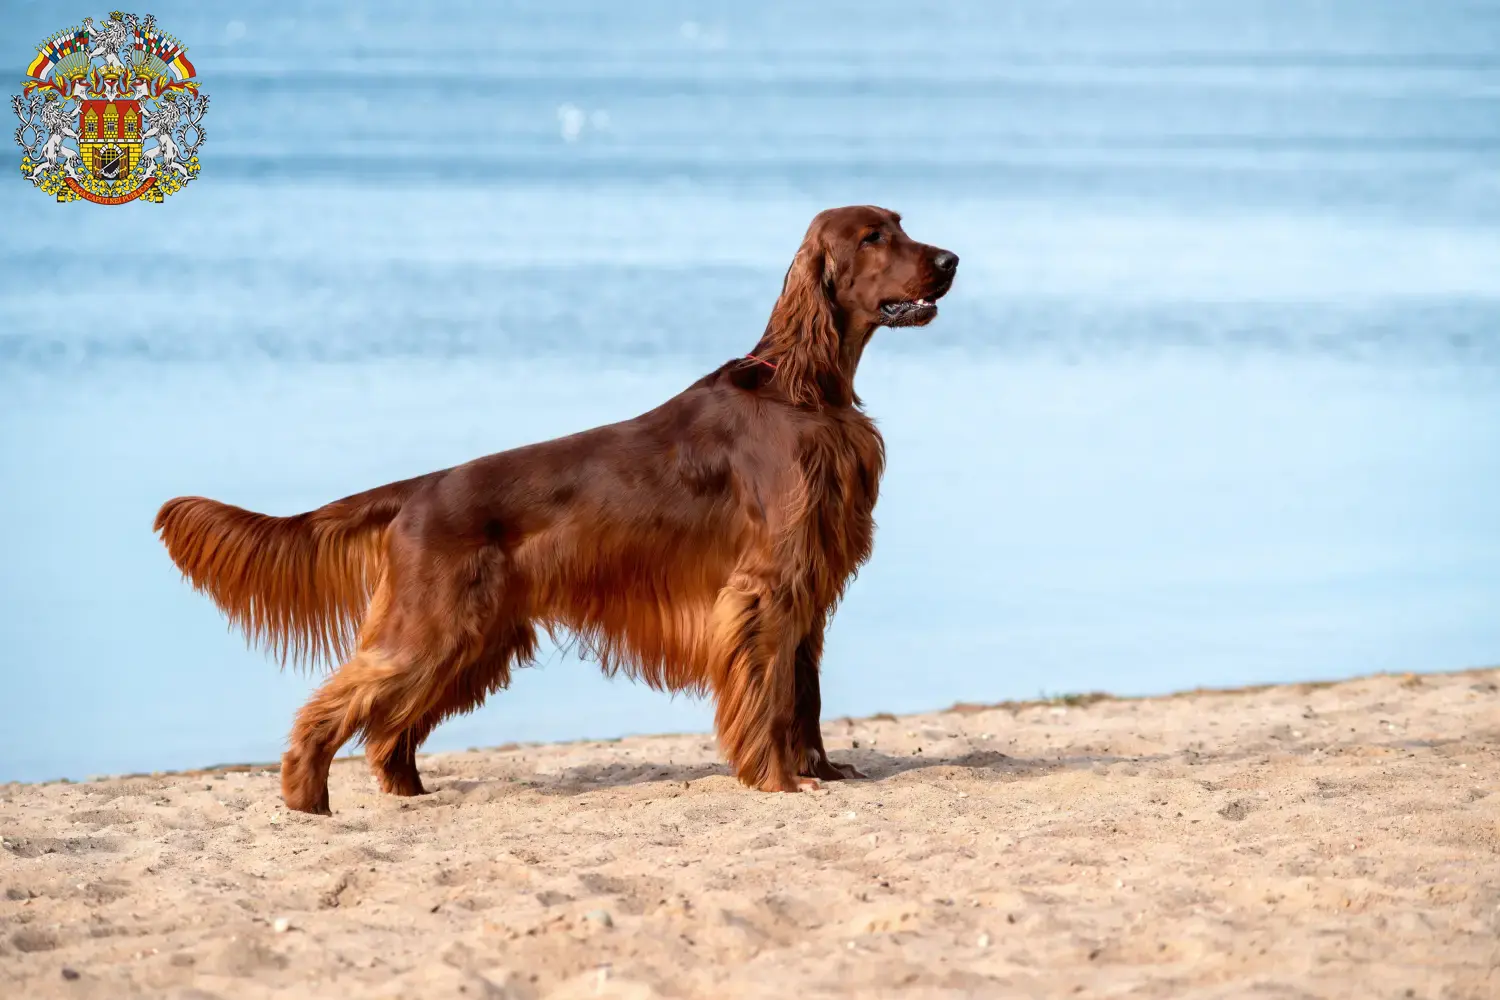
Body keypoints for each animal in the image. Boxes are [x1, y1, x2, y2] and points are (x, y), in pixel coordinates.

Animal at [155, 206, 960, 815]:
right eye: (873, 236)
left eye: (900, 224)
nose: (951, 259)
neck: (803, 386)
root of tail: (420, 490)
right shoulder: (765, 587)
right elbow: (772, 691)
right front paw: (778, 780)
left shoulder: (808, 586)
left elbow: (805, 692)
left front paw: (818, 770)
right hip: (433, 626)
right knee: (340, 703)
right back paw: (306, 797)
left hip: (474, 637)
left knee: (390, 728)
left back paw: (407, 791)